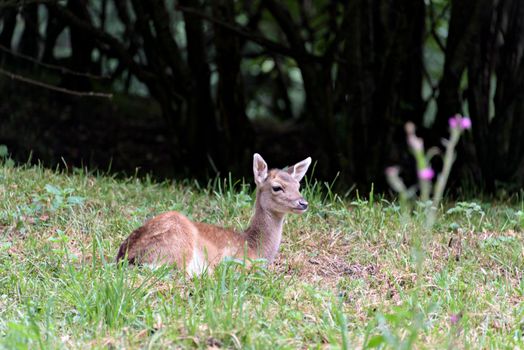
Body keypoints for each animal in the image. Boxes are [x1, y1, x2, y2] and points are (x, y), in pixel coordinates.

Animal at [114, 154, 312, 274]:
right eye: (277, 187)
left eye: (298, 186)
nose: (303, 203)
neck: (256, 248)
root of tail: (127, 258)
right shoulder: (238, 259)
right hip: (179, 243)